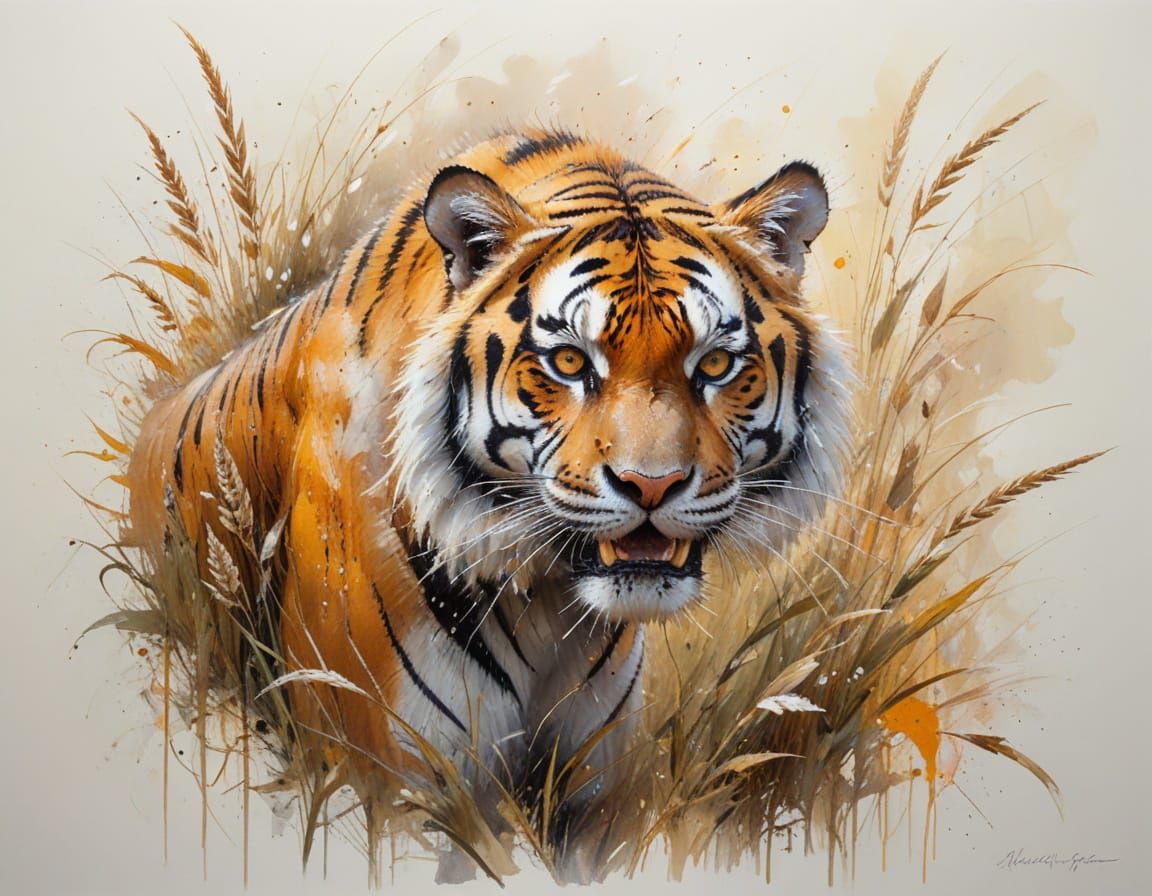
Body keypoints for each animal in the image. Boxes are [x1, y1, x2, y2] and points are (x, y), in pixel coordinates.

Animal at [125, 128, 850, 875]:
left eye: (714, 364)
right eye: (569, 362)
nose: (651, 484)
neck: (552, 608)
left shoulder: (590, 793)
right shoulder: (390, 780)